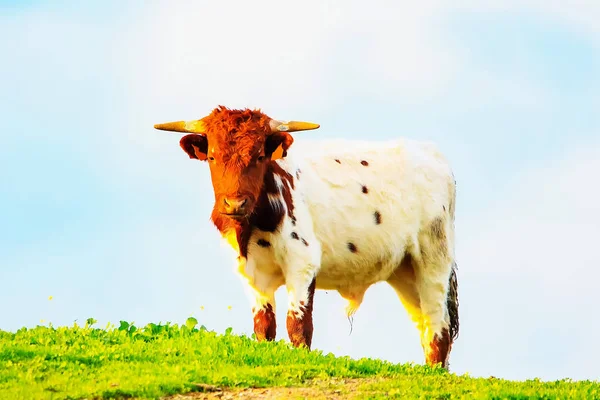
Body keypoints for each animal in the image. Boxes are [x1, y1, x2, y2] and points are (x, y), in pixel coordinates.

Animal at [155, 105, 460, 368]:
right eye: (212, 156)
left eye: (259, 155)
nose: (235, 203)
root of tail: (433, 154)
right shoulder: (250, 273)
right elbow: (264, 326)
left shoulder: (302, 262)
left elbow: (298, 325)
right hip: (404, 272)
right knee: (423, 324)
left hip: (433, 260)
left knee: (438, 325)